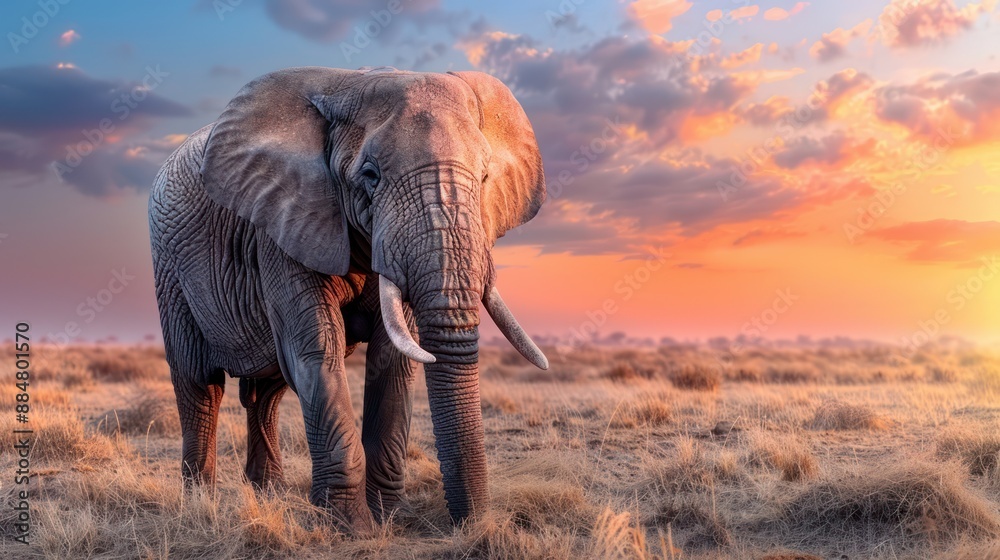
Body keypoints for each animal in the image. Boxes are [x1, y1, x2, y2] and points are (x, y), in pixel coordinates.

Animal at [147, 66, 548, 534]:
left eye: (484, 178)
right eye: (370, 175)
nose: (474, 525)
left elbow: (394, 358)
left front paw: (388, 518)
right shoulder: (282, 225)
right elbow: (318, 350)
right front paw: (350, 526)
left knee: (266, 392)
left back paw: (268, 495)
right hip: (170, 267)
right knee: (199, 383)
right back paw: (200, 504)